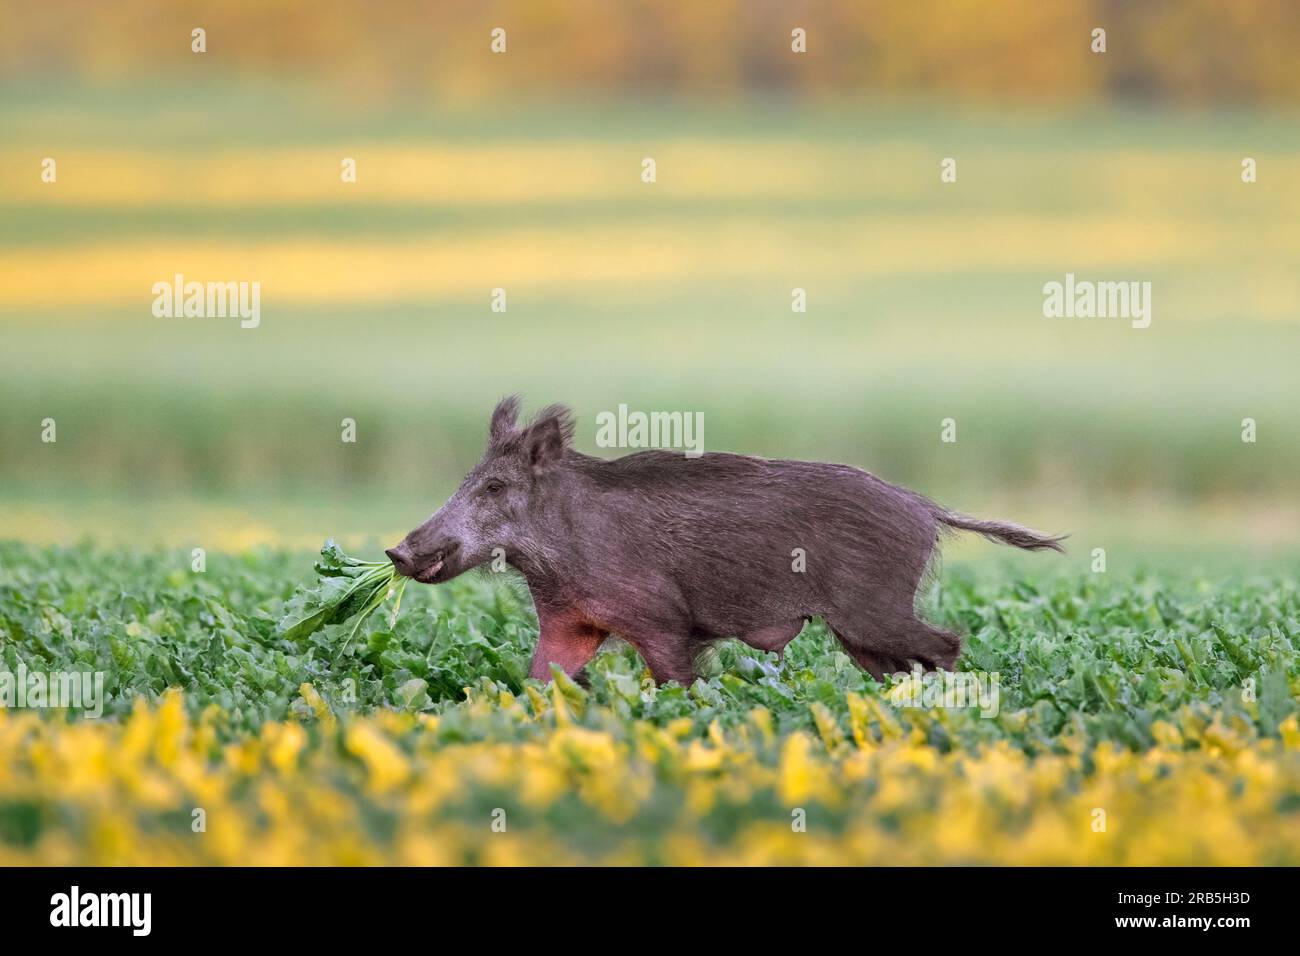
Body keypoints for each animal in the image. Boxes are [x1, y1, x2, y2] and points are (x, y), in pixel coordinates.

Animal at [386, 397, 1064, 686]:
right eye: (467, 480)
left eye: (495, 486)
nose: (398, 551)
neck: (554, 558)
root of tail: (926, 508)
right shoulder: (569, 625)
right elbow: (538, 680)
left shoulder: (663, 623)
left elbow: (677, 685)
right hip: (860, 630)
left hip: (873, 610)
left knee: (947, 643)